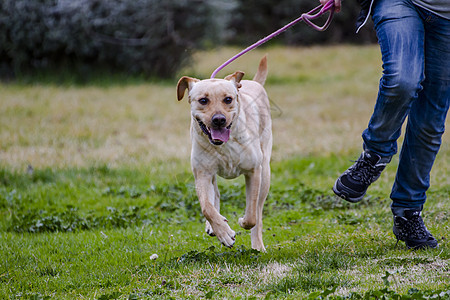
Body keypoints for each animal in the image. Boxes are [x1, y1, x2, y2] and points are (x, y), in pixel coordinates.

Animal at [178, 56, 272, 251]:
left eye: (228, 99)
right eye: (203, 100)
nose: (219, 120)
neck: (224, 145)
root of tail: (253, 82)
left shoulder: (253, 171)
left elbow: (252, 215)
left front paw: (242, 221)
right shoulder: (203, 174)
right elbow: (207, 207)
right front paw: (223, 232)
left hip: (265, 172)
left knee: (258, 210)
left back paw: (258, 245)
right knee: (214, 196)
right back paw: (213, 226)